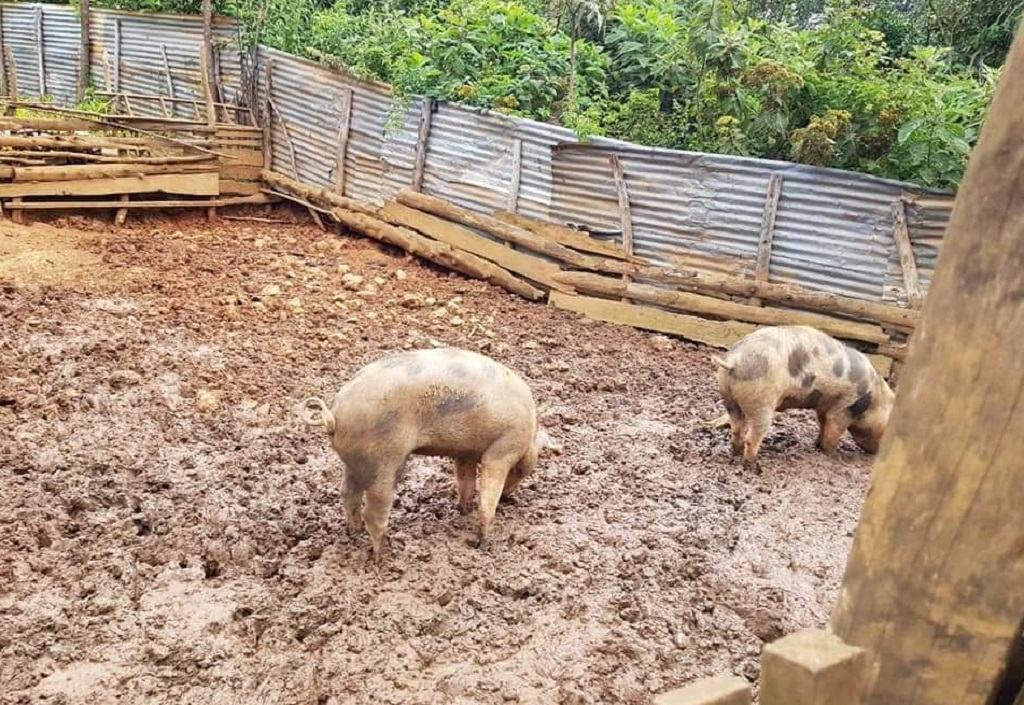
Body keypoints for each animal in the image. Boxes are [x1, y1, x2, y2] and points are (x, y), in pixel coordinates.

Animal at [299, 346, 565, 561]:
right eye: (520, 470)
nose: (509, 497)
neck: (530, 432)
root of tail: (334, 415)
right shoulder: (501, 451)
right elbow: (487, 496)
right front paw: (483, 543)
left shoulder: (465, 452)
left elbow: (466, 481)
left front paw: (463, 510)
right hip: (384, 461)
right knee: (373, 511)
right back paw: (383, 556)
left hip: (354, 463)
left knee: (348, 495)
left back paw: (354, 535)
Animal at [712, 325, 897, 471]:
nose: (876, 454)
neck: (874, 398)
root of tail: (734, 361)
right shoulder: (845, 407)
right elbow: (834, 432)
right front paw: (831, 455)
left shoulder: (823, 407)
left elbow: (823, 425)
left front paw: (817, 445)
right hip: (761, 401)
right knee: (752, 436)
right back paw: (752, 465)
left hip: (728, 397)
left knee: (736, 427)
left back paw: (735, 453)